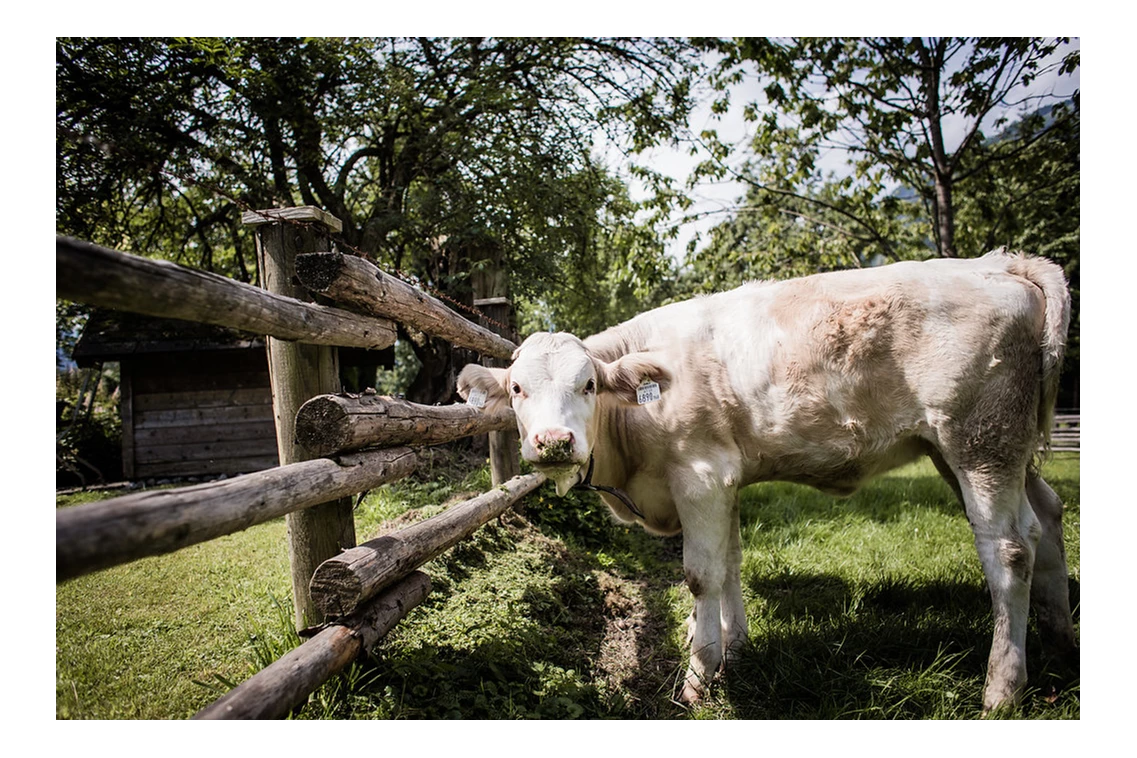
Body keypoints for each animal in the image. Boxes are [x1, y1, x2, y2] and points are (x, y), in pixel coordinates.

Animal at [454, 248, 1073, 713]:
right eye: (517, 389)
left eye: (587, 385)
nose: (554, 442)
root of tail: (1003, 263)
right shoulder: (725, 481)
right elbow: (730, 563)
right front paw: (736, 649)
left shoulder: (701, 477)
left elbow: (701, 574)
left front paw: (698, 678)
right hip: (989, 449)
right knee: (1047, 518)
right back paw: (1060, 644)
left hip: (979, 442)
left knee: (1009, 548)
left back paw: (1002, 688)